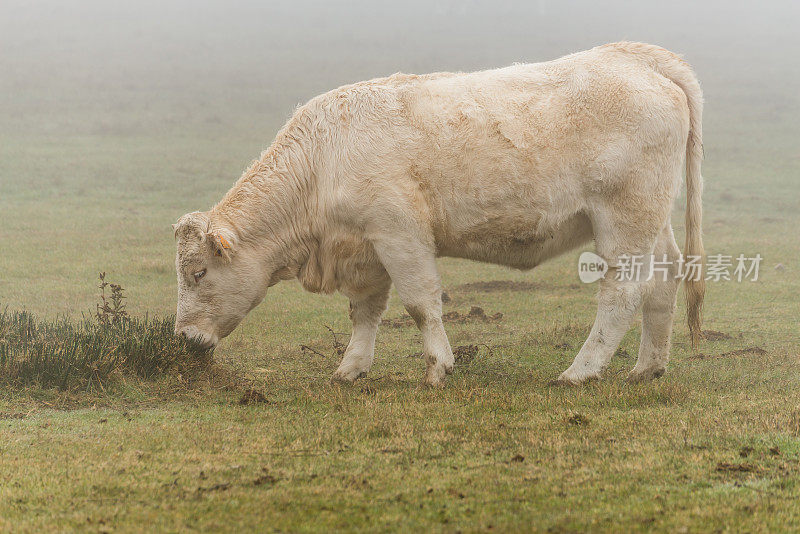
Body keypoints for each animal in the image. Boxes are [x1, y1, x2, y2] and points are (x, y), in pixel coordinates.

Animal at [172, 42, 704, 386]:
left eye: (198, 273)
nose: (184, 339)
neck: (322, 161)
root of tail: (637, 59)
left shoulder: (399, 233)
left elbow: (420, 303)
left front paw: (438, 368)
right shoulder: (366, 247)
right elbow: (365, 310)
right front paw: (351, 368)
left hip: (623, 217)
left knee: (623, 291)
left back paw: (581, 371)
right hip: (652, 218)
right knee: (664, 277)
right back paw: (648, 367)